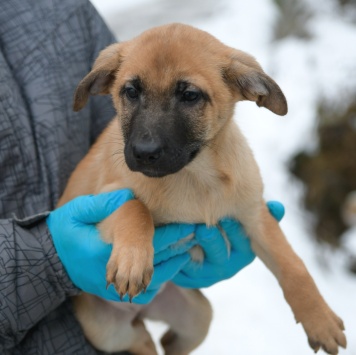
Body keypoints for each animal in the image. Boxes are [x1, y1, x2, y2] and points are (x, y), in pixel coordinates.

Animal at [59, 23, 348, 354]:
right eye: (130, 91)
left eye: (189, 95)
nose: (144, 152)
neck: (195, 176)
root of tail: (142, 311)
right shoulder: (100, 202)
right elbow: (134, 206)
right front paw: (132, 262)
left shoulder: (255, 215)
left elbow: (293, 265)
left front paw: (320, 320)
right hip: (102, 327)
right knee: (138, 339)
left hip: (198, 316)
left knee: (166, 340)